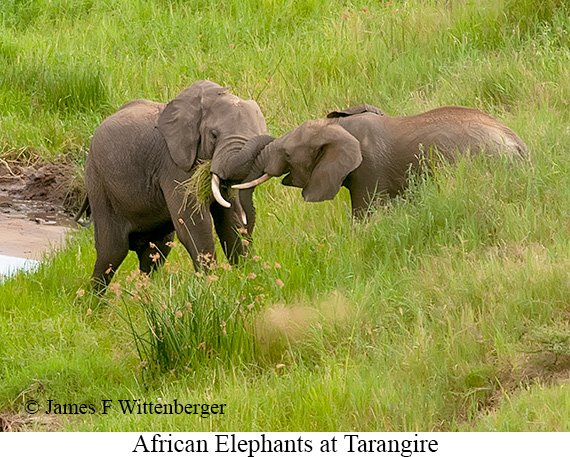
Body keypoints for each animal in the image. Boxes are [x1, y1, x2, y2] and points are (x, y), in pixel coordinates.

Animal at [75, 79, 272, 290]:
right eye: (214, 135)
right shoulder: (173, 164)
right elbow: (194, 223)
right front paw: (211, 284)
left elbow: (229, 220)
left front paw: (248, 276)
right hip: (99, 183)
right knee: (112, 252)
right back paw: (93, 298)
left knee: (156, 251)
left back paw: (145, 291)